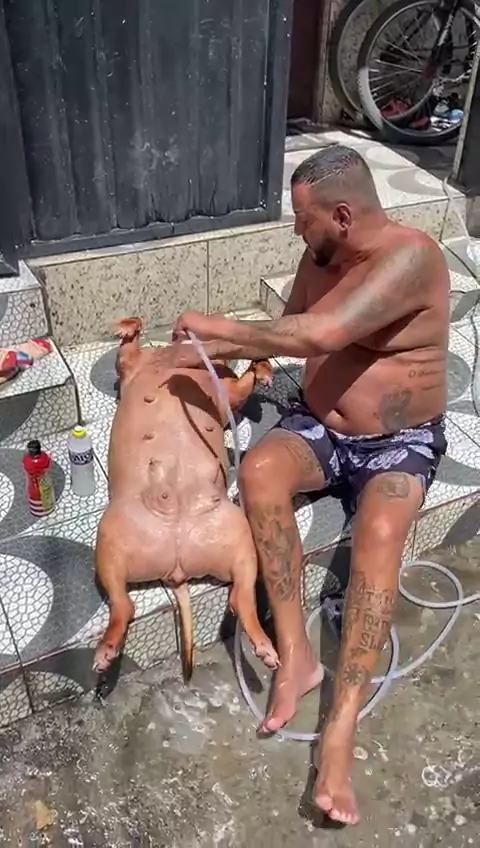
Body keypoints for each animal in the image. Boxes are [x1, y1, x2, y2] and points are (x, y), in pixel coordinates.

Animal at [93, 317, 279, 678]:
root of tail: (177, 569)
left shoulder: (226, 395)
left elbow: (241, 388)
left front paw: (261, 367)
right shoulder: (131, 367)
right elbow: (126, 351)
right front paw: (129, 326)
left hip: (238, 535)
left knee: (240, 597)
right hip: (112, 534)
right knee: (124, 603)